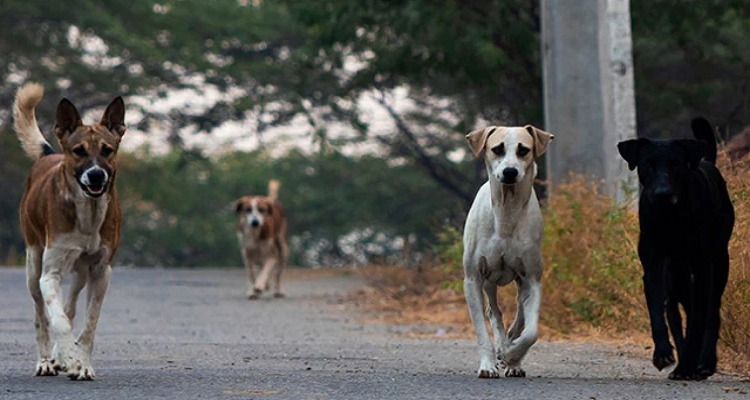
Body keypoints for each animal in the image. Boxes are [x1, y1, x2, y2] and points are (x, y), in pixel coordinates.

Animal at [12, 83, 126, 380]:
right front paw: (69, 359)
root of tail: (49, 154)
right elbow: (58, 322)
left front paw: (82, 364)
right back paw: (46, 361)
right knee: (41, 315)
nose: (96, 175)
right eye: (79, 151)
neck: (87, 213)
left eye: (107, 150)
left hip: (80, 273)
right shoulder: (49, 274)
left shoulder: (101, 272)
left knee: (70, 306)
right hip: (33, 264)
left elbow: (88, 324)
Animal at [462, 124, 556, 378]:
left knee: (520, 314)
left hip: (522, 281)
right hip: (488, 281)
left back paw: (510, 353)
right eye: (497, 149)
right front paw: (488, 364)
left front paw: (512, 356)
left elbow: (531, 332)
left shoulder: (532, 278)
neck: (507, 213)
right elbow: (482, 329)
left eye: (524, 149)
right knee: (494, 312)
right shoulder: (473, 278)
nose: (510, 172)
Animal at [620, 117, 736, 380]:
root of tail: (707, 161)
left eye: (675, 165)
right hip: (680, 278)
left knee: (711, 313)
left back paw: (704, 364)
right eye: (648, 165)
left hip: (719, 263)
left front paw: (688, 365)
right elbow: (658, 314)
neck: (671, 217)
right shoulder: (654, 267)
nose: (663, 194)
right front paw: (663, 354)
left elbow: (698, 324)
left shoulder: (703, 270)